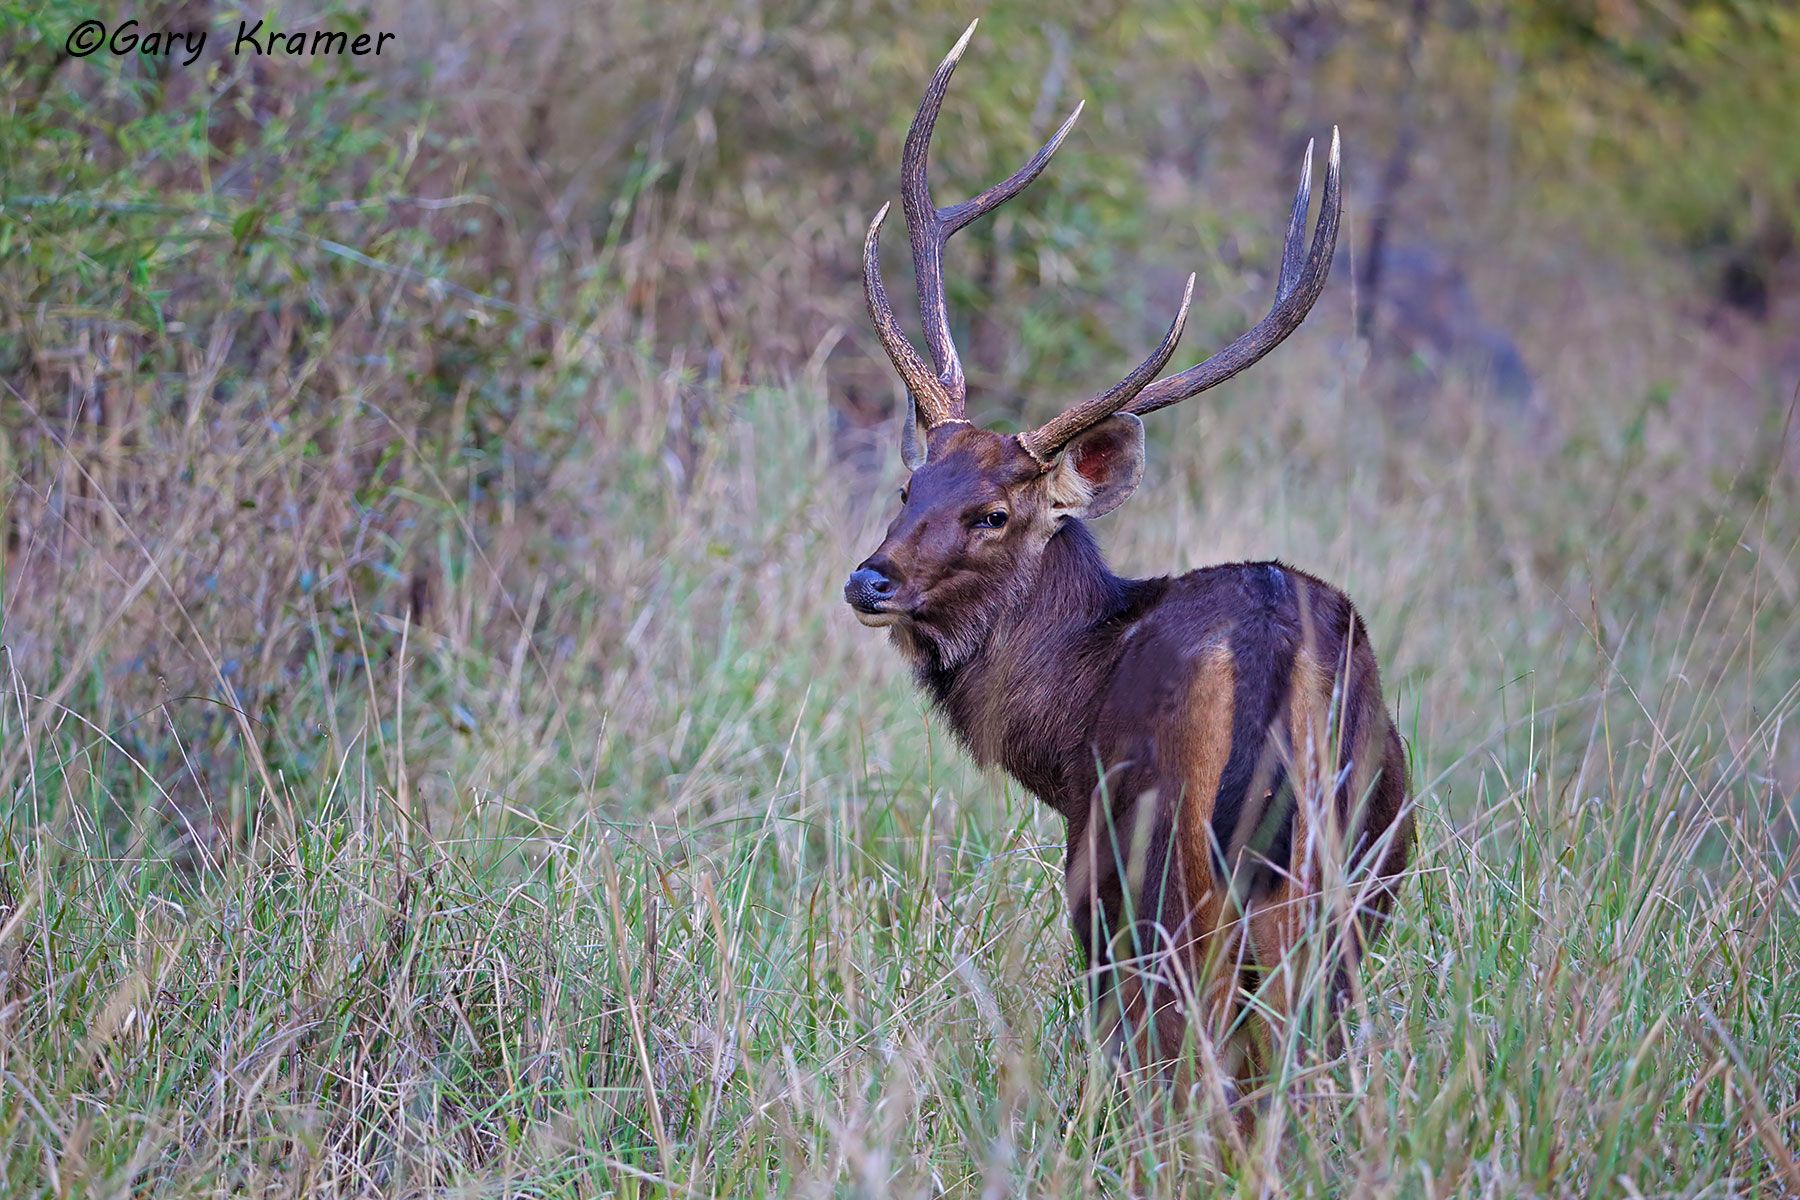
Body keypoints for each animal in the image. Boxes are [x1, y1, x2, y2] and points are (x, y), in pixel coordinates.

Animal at [844, 22, 1414, 1117]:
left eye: (994, 514)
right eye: (908, 486)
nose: (871, 582)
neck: (1059, 730)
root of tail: (1277, 654)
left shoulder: (1090, 871)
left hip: (1165, 866)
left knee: (1191, 1057)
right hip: (1345, 888)